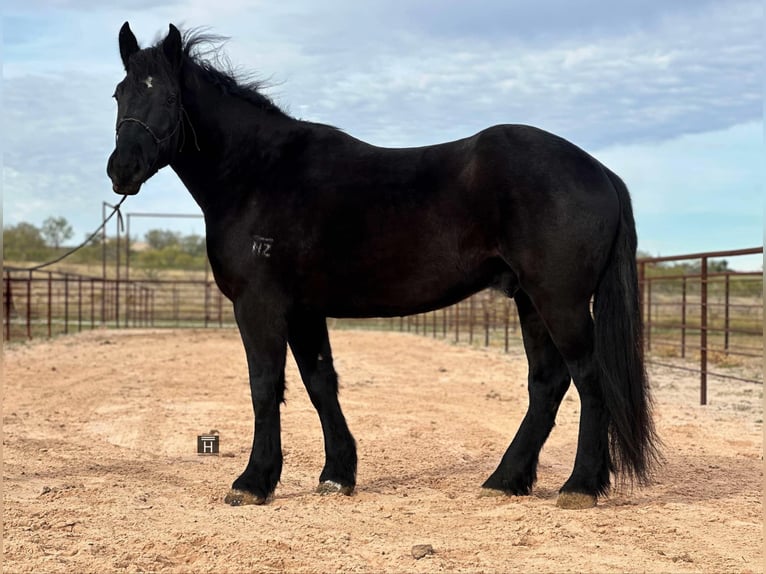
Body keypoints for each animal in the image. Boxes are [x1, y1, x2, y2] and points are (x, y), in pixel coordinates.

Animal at [106, 23, 660, 509]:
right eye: (119, 94)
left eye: (170, 99)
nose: (121, 170)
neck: (258, 173)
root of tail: (599, 171)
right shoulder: (304, 310)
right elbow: (320, 383)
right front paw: (336, 475)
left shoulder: (260, 305)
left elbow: (265, 386)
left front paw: (252, 482)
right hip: (530, 299)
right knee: (547, 383)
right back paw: (505, 480)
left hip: (559, 300)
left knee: (588, 378)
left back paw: (580, 486)